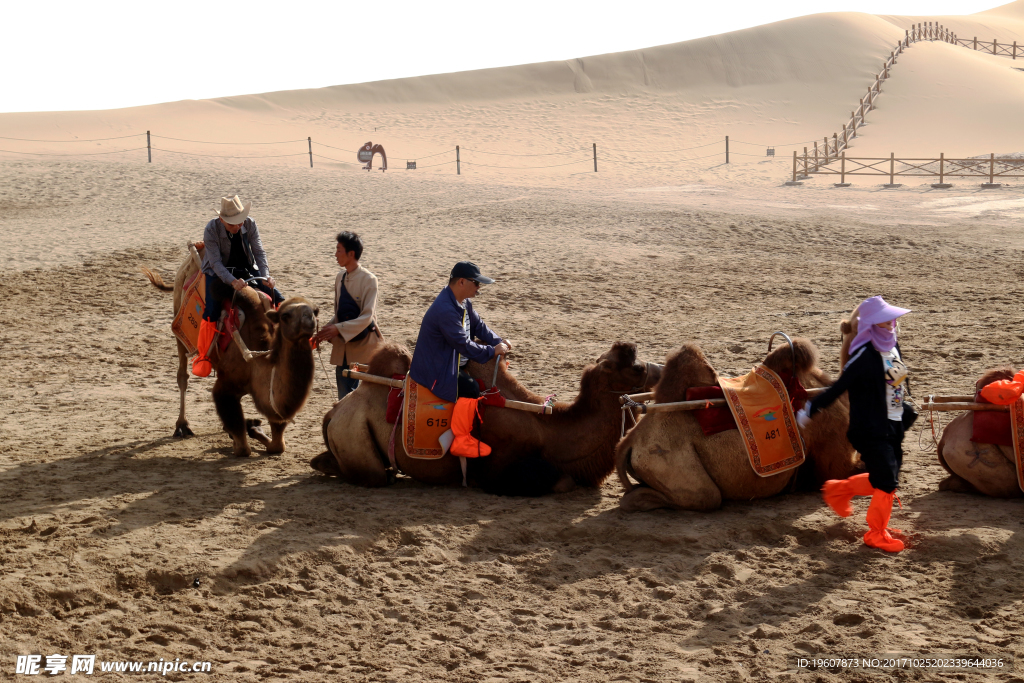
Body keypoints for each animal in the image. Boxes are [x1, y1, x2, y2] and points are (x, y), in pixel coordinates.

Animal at [311, 342, 663, 497]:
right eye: (635, 367)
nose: (660, 371)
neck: (549, 430)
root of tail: (333, 410)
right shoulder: (501, 467)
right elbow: (560, 481)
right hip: (355, 436)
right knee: (373, 475)